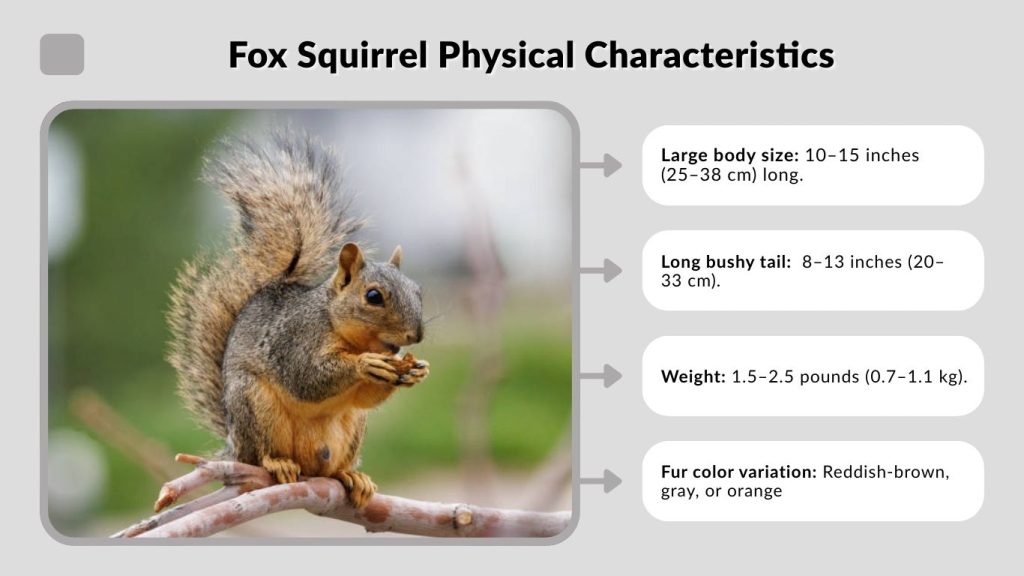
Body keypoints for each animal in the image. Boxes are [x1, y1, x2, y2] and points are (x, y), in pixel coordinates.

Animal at [167, 131, 429, 509]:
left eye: (418, 291)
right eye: (373, 296)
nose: (416, 335)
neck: (341, 330)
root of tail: (234, 447)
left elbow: (366, 396)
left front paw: (416, 370)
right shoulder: (294, 339)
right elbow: (305, 377)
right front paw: (365, 364)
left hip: (351, 428)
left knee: (332, 465)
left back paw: (351, 476)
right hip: (255, 407)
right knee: (262, 453)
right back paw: (277, 462)